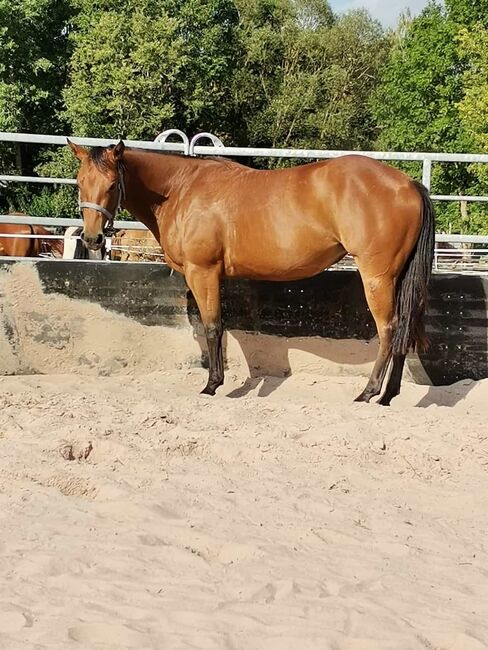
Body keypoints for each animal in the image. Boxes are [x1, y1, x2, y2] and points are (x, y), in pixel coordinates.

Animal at [67, 140, 434, 404]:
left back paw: (369, 392)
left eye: (112, 184)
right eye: (80, 182)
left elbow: (213, 327)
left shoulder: (203, 272)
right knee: (405, 328)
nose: (92, 238)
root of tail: (408, 184)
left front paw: (212, 385)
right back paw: (388, 395)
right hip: (398, 278)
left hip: (377, 277)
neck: (180, 190)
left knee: (389, 329)